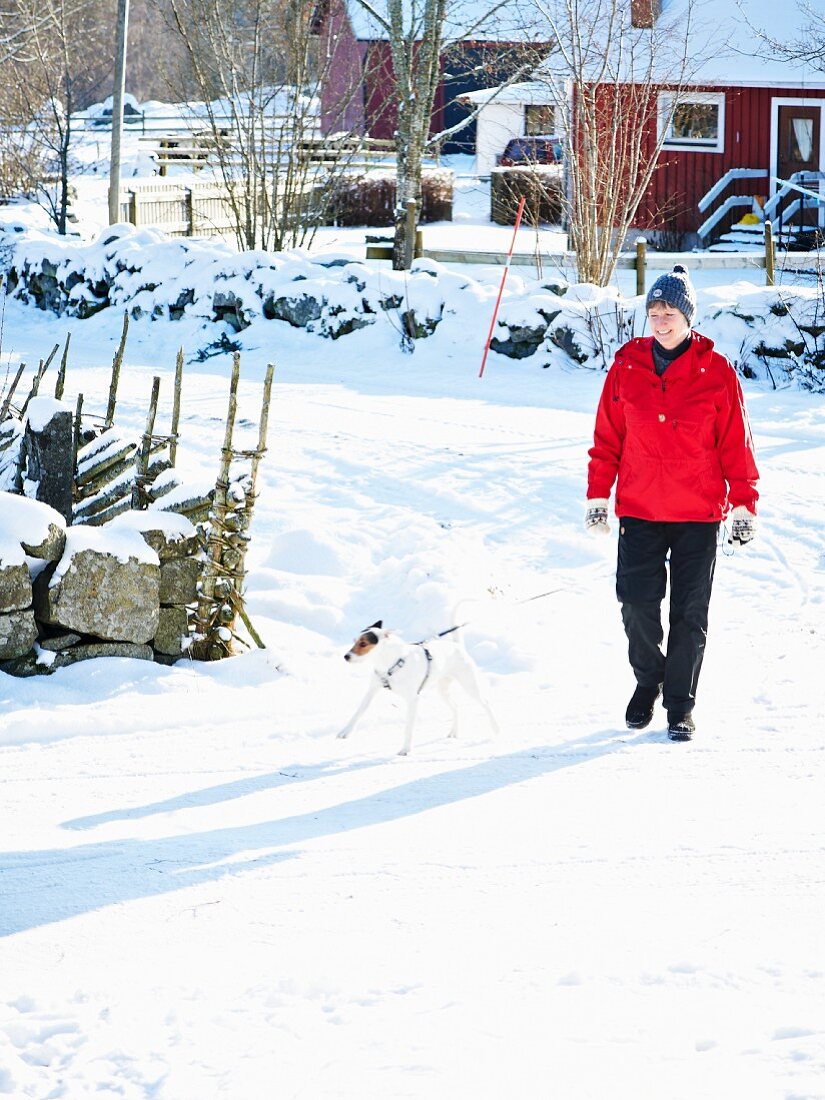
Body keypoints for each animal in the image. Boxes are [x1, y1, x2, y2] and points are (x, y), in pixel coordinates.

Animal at [336, 620, 503, 756]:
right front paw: (345, 732)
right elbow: (358, 712)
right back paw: (453, 732)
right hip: (442, 690)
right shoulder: (372, 690)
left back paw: (496, 729)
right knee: (456, 706)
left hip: (470, 685)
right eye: (354, 641)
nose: (346, 656)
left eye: (363, 644)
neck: (391, 663)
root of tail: (457, 646)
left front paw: (405, 749)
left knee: (486, 703)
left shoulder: (413, 700)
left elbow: (409, 727)